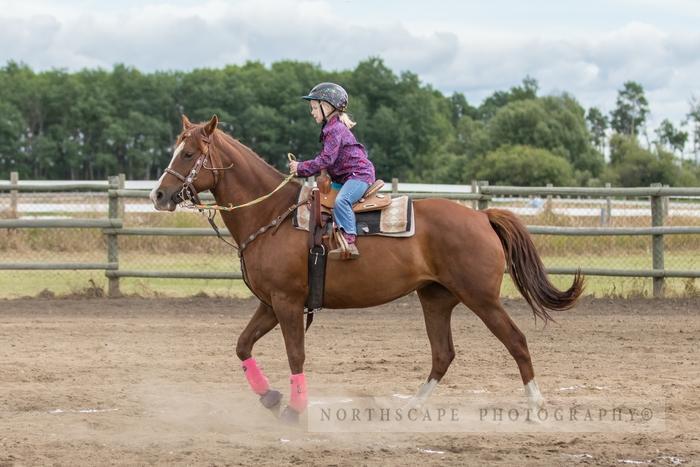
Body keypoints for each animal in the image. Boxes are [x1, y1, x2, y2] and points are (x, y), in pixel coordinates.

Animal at [152, 115, 584, 422]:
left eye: (188, 154)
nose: (158, 194)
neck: (272, 214)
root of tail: (481, 217)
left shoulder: (288, 303)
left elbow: (296, 355)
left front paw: (294, 411)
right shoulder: (270, 303)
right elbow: (243, 345)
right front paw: (272, 398)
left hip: (481, 298)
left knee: (517, 342)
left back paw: (534, 409)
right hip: (436, 298)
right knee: (442, 354)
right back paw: (411, 408)